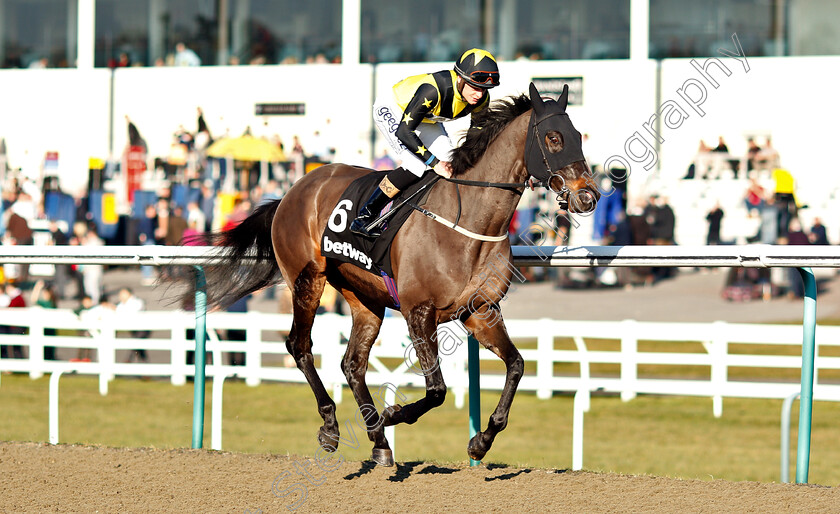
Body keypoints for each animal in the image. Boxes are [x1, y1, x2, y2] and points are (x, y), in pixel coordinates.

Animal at [190, 83, 596, 464]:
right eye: (554, 138)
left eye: (578, 135)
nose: (588, 196)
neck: (469, 221)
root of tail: (293, 190)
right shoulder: (419, 310)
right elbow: (436, 389)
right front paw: (395, 413)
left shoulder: (479, 310)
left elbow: (516, 365)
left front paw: (480, 441)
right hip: (307, 279)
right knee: (299, 346)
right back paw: (332, 426)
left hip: (364, 297)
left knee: (352, 363)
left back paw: (379, 441)